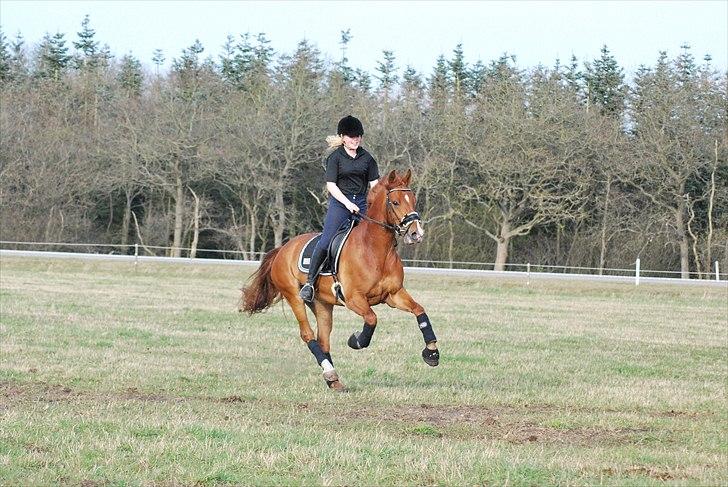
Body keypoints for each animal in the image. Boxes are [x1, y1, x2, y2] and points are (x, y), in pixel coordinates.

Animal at [242, 170, 440, 390]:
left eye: (413, 200)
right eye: (395, 202)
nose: (416, 234)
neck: (375, 249)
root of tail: (282, 249)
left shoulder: (394, 295)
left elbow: (420, 311)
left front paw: (432, 353)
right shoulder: (354, 299)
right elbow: (372, 319)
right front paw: (356, 341)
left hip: (322, 304)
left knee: (323, 339)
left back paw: (333, 379)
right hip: (295, 297)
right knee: (308, 334)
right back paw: (330, 372)